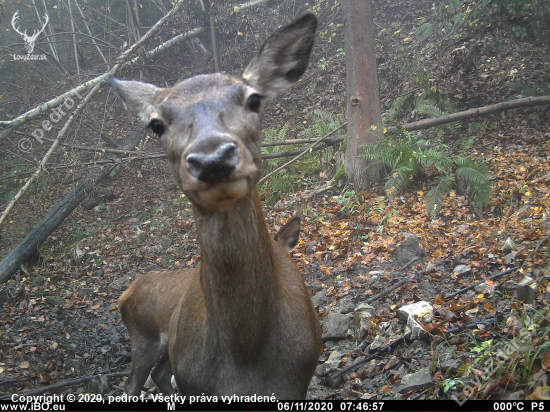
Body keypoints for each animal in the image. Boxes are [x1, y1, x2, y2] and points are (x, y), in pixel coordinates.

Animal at [109, 13, 324, 400]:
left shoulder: (296, 382)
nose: (212, 159)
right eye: (156, 124)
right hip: (144, 341)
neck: (245, 358)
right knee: (132, 385)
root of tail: (126, 291)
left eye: (254, 99)